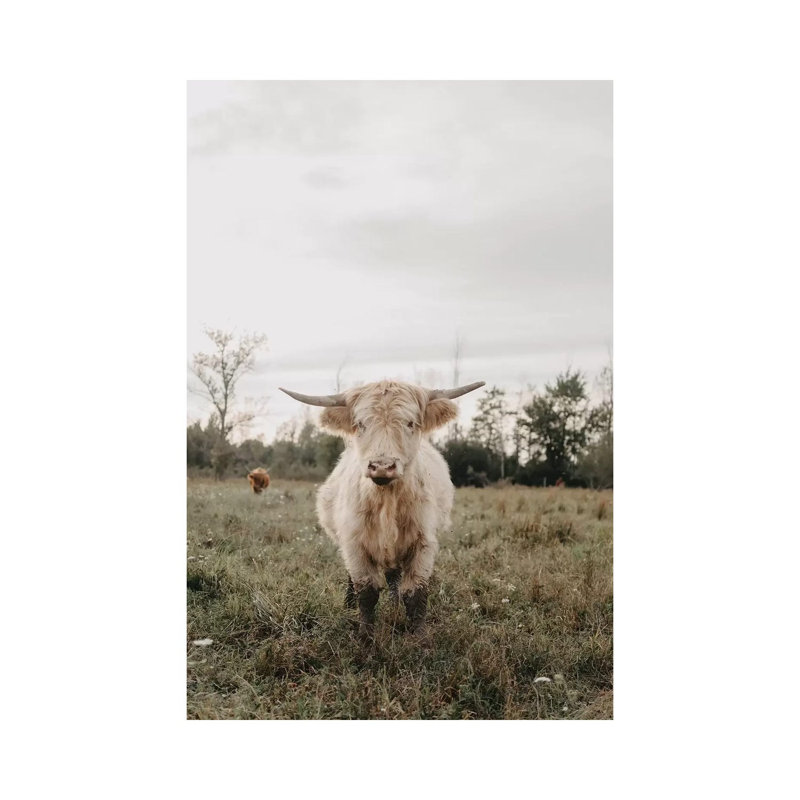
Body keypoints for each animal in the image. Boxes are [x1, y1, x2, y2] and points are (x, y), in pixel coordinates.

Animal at [280, 379, 485, 640]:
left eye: (410, 423)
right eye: (360, 424)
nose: (382, 466)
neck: (386, 499)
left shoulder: (423, 543)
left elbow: (415, 593)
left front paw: (420, 637)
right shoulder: (354, 544)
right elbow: (366, 592)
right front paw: (365, 637)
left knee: (394, 576)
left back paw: (394, 603)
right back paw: (349, 604)